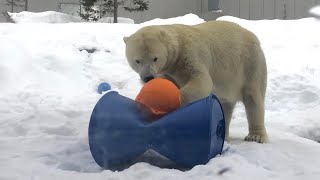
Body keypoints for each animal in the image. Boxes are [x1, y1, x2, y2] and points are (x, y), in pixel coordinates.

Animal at [124, 20, 268, 143]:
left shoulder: (191, 56)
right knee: (225, 104)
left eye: (155, 58)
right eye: (137, 60)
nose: (147, 77)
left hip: (250, 64)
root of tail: (253, 36)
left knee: (253, 98)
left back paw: (256, 136)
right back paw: (224, 135)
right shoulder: (169, 71)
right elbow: (167, 82)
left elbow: (202, 81)